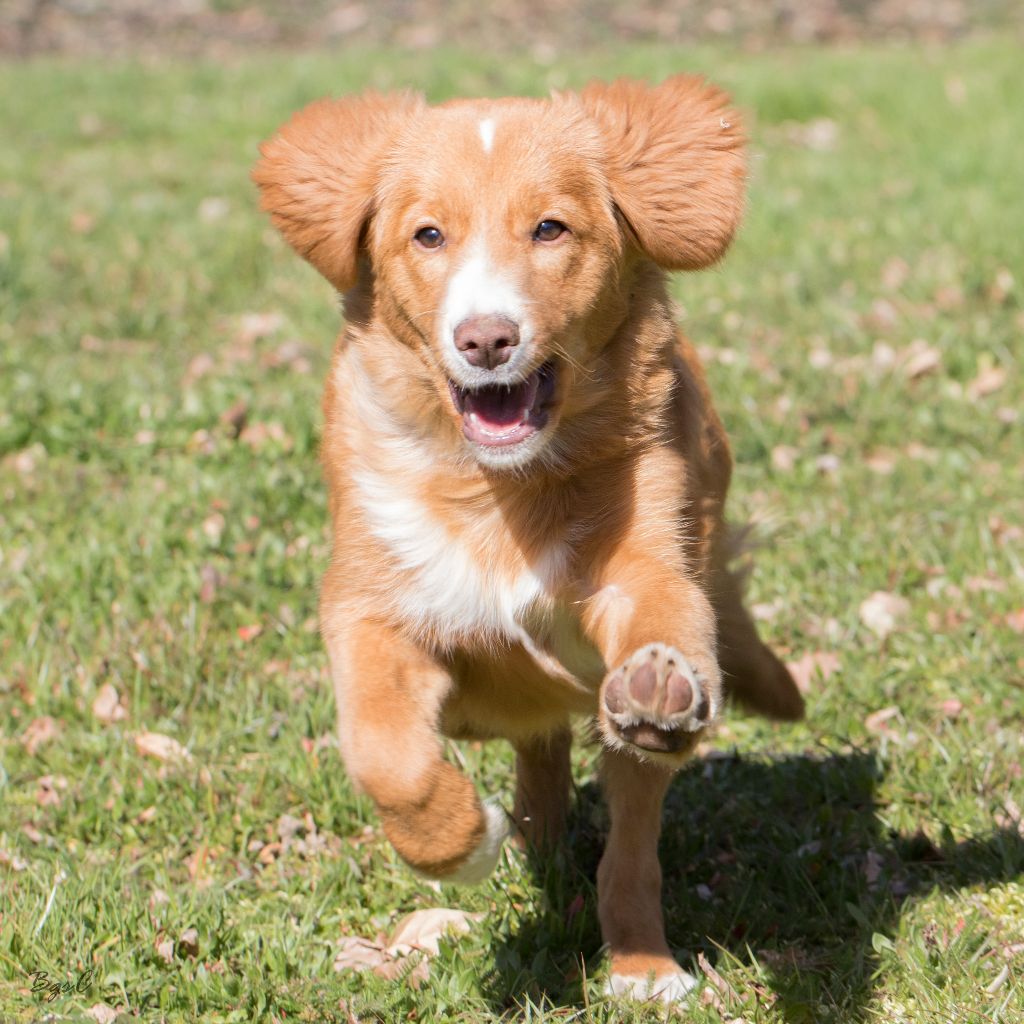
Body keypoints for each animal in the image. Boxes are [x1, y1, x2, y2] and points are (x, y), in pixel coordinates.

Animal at [253, 75, 798, 1003]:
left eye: (551, 228)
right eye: (427, 235)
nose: (486, 339)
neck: (499, 491)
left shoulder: (645, 562)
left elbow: (663, 610)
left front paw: (663, 683)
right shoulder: (369, 609)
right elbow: (386, 754)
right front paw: (463, 845)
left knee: (631, 836)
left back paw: (641, 957)